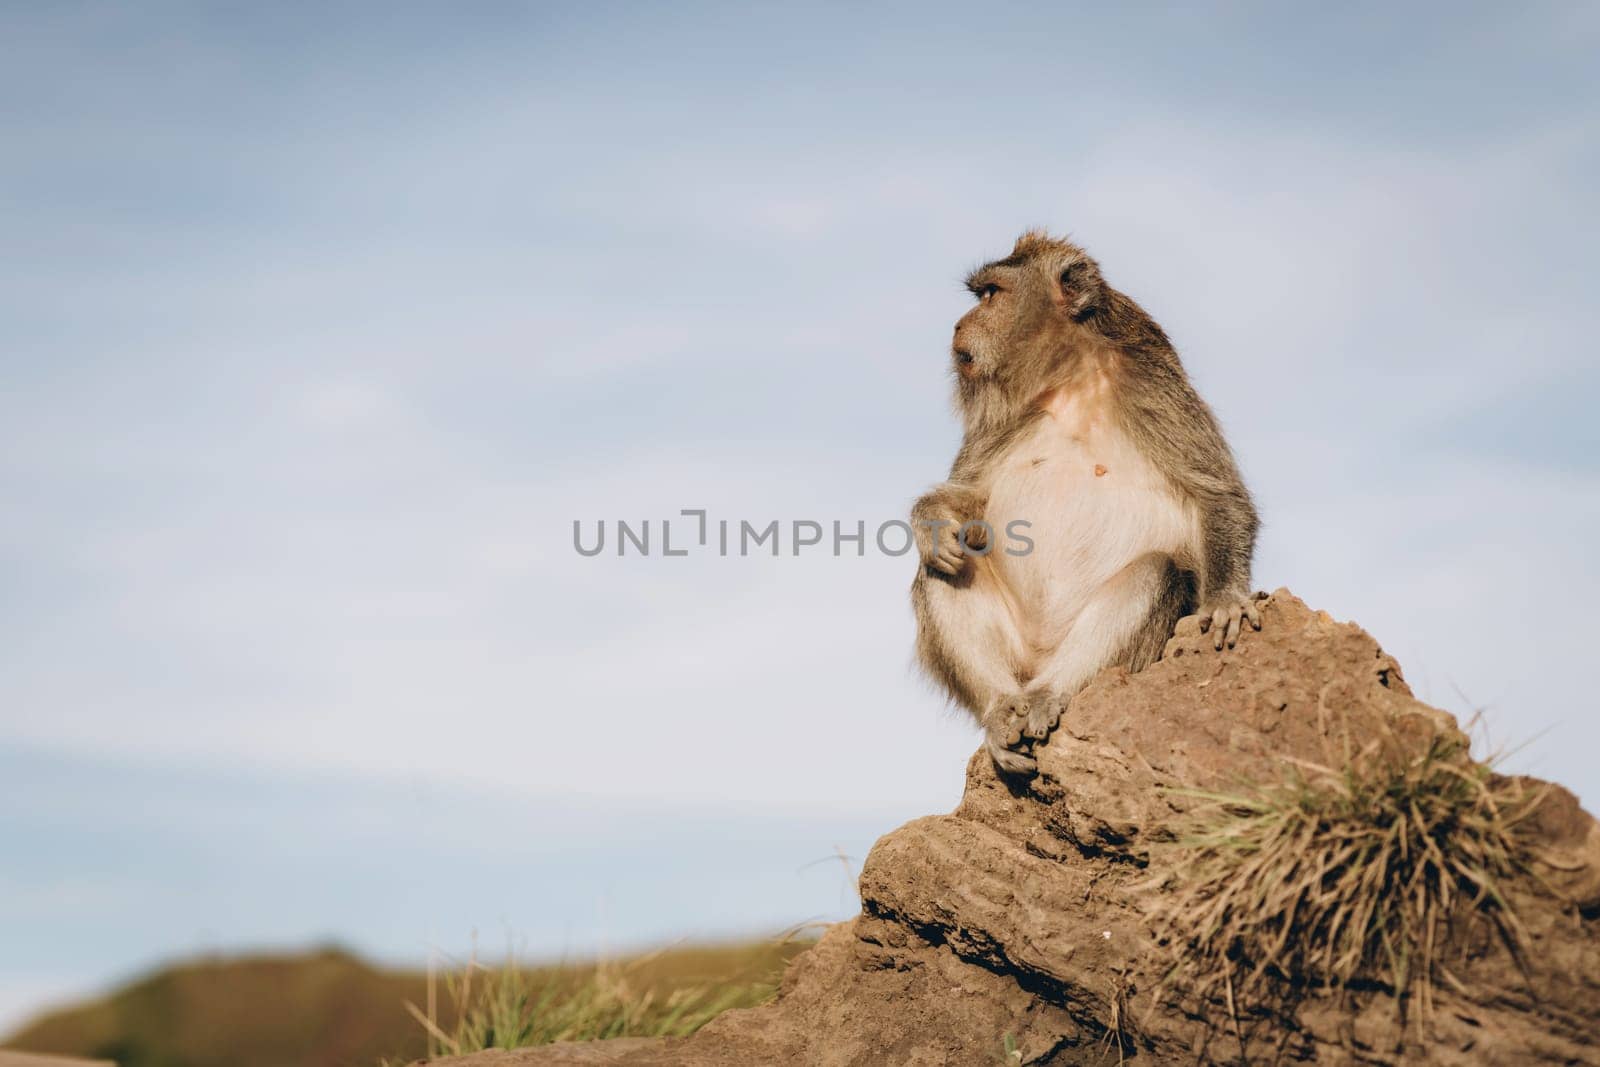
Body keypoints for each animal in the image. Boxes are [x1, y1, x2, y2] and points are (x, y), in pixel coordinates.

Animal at [915, 231, 1260, 777]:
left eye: (990, 295)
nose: (958, 324)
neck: (1071, 379)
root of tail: (1038, 665)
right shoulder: (1002, 417)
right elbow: (969, 498)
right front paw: (929, 520)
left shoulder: (1153, 386)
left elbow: (1217, 493)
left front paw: (1226, 598)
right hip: (1016, 657)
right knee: (942, 567)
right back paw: (1000, 710)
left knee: (1158, 570)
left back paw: (1050, 694)